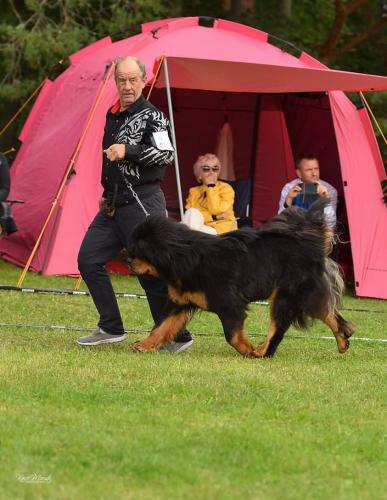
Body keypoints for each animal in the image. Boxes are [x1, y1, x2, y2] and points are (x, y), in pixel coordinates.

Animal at [129, 200, 356, 360]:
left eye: (138, 252)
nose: (129, 262)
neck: (186, 258)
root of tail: (308, 242)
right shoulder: (179, 303)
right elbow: (161, 327)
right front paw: (144, 345)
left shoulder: (230, 305)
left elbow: (232, 335)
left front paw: (246, 349)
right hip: (304, 295)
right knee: (330, 313)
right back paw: (343, 340)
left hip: (286, 296)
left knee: (278, 328)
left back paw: (261, 352)